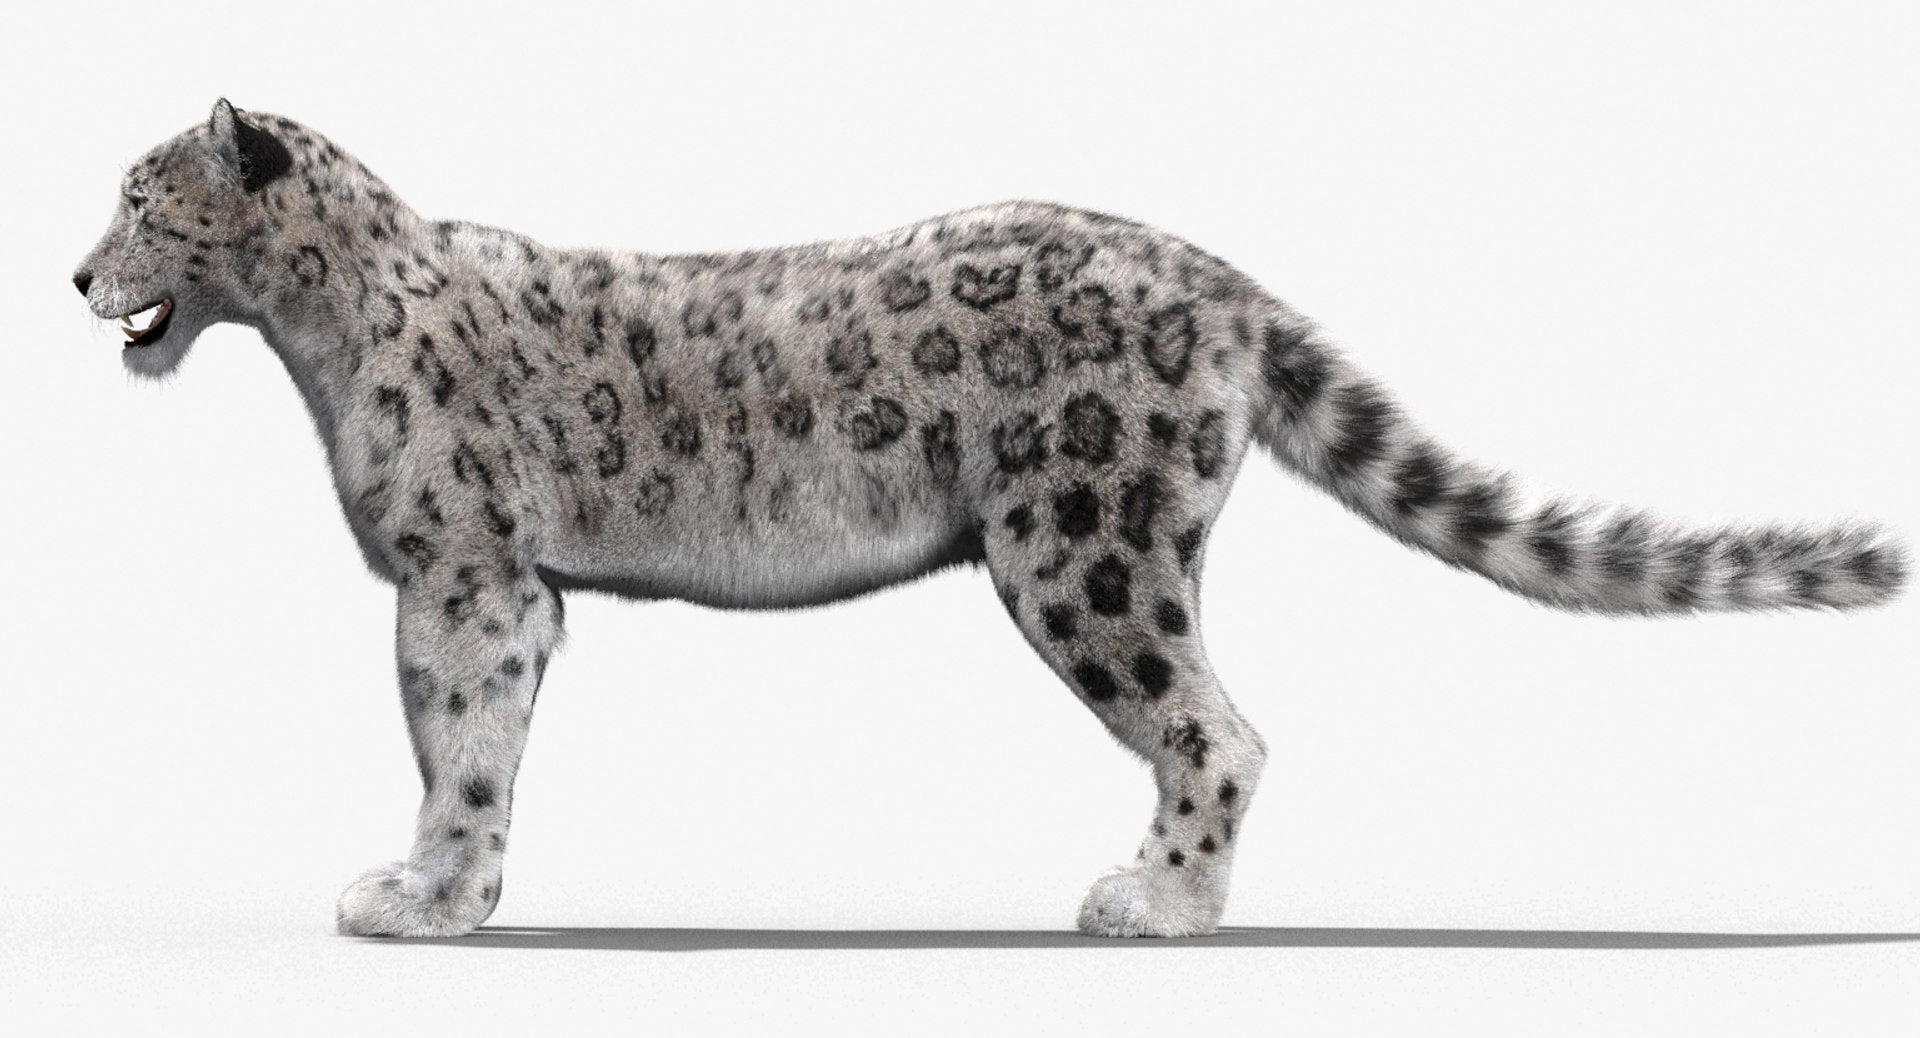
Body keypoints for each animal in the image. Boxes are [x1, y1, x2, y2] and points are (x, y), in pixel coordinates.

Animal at [74, 101, 1906, 939]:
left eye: (144, 198)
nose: (78, 274)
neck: (321, 336)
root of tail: (1221, 276)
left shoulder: (462, 568)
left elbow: (454, 737)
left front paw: (423, 896)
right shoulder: (495, 580)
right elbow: (471, 740)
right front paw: (445, 887)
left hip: (1082, 545)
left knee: (1215, 723)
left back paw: (1154, 906)